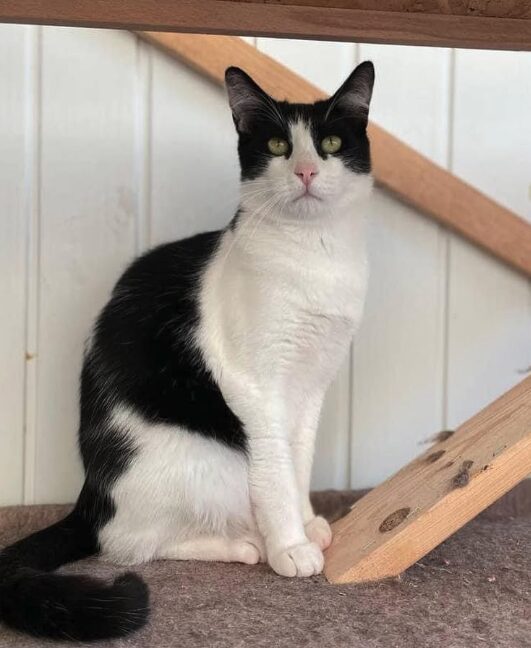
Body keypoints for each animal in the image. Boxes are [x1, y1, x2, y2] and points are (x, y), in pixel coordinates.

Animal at [0, 60, 374, 644]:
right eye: (277, 145)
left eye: (331, 143)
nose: (307, 172)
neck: (315, 258)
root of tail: (91, 495)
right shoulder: (256, 387)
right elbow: (276, 467)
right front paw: (290, 545)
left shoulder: (313, 383)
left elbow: (300, 459)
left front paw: (306, 519)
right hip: (203, 464)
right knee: (128, 542)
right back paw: (245, 545)